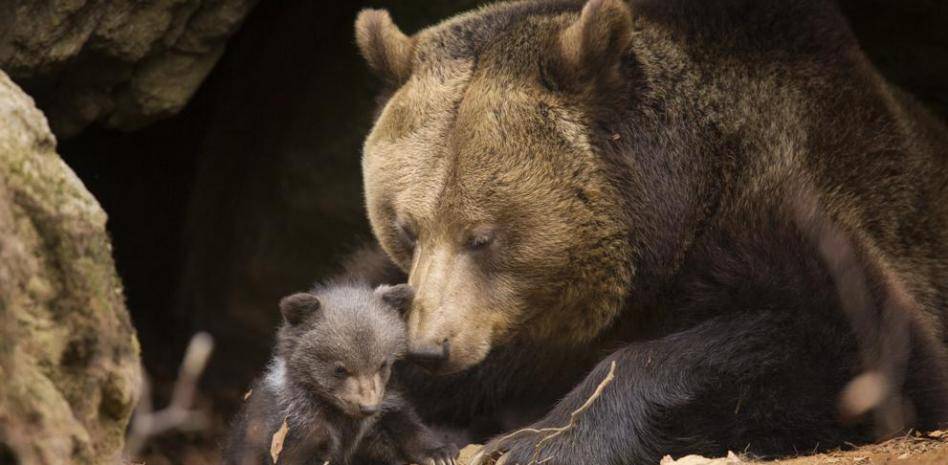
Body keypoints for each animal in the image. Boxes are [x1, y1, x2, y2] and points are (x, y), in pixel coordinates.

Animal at [348, 0, 948, 464]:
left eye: (482, 236)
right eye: (406, 227)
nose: (429, 348)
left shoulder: (794, 207)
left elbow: (857, 346)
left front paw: (535, 442)